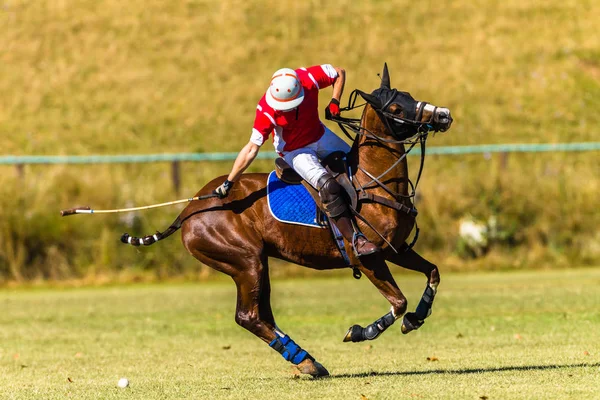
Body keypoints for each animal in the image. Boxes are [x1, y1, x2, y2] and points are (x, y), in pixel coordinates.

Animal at [120, 64, 450, 376]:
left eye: (408, 96)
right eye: (395, 109)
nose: (444, 115)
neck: (372, 180)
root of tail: (189, 209)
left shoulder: (397, 249)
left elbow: (433, 272)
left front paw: (416, 318)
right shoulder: (366, 257)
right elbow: (398, 302)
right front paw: (362, 331)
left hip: (254, 263)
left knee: (262, 313)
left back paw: (306, 360)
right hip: (245, 261)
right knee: (249, 316)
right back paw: (305, 360)